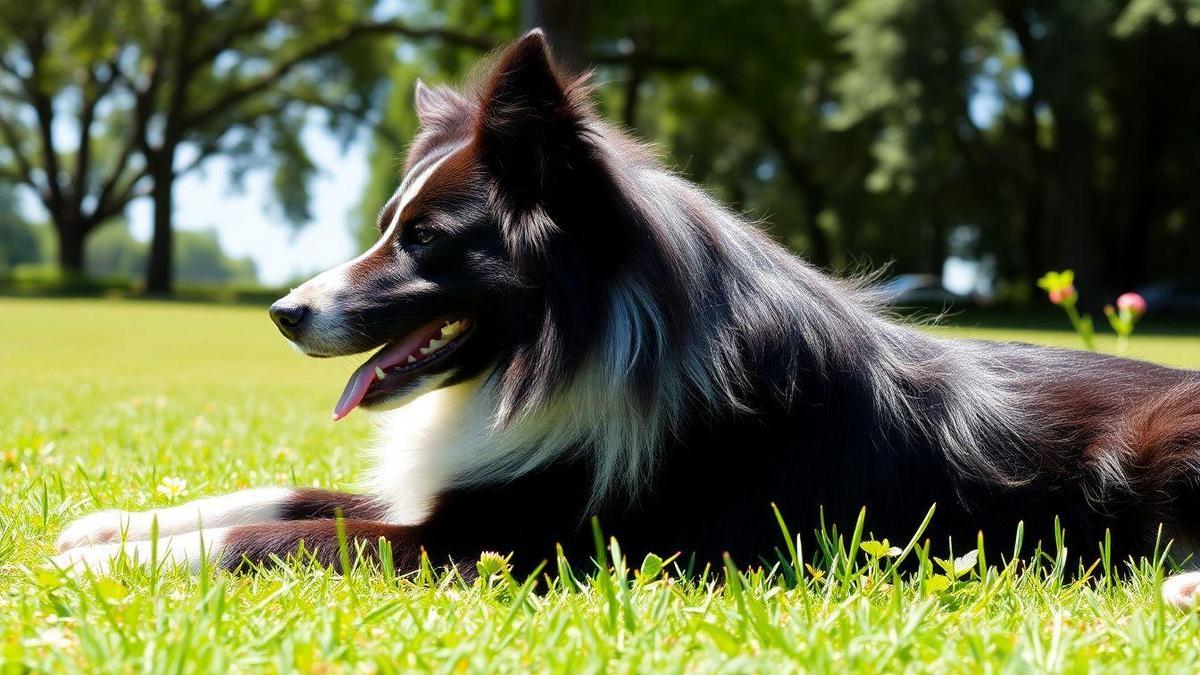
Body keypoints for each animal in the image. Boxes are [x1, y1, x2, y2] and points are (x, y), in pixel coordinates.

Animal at [51, 30, 1200, 605]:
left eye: (424, 241)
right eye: (385, 227)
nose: (284, 313)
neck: (577, 338)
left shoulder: (500, 544)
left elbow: (271, 537)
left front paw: (110, 566)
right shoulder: (452, 489)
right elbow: (283, 495)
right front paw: (112, 527)